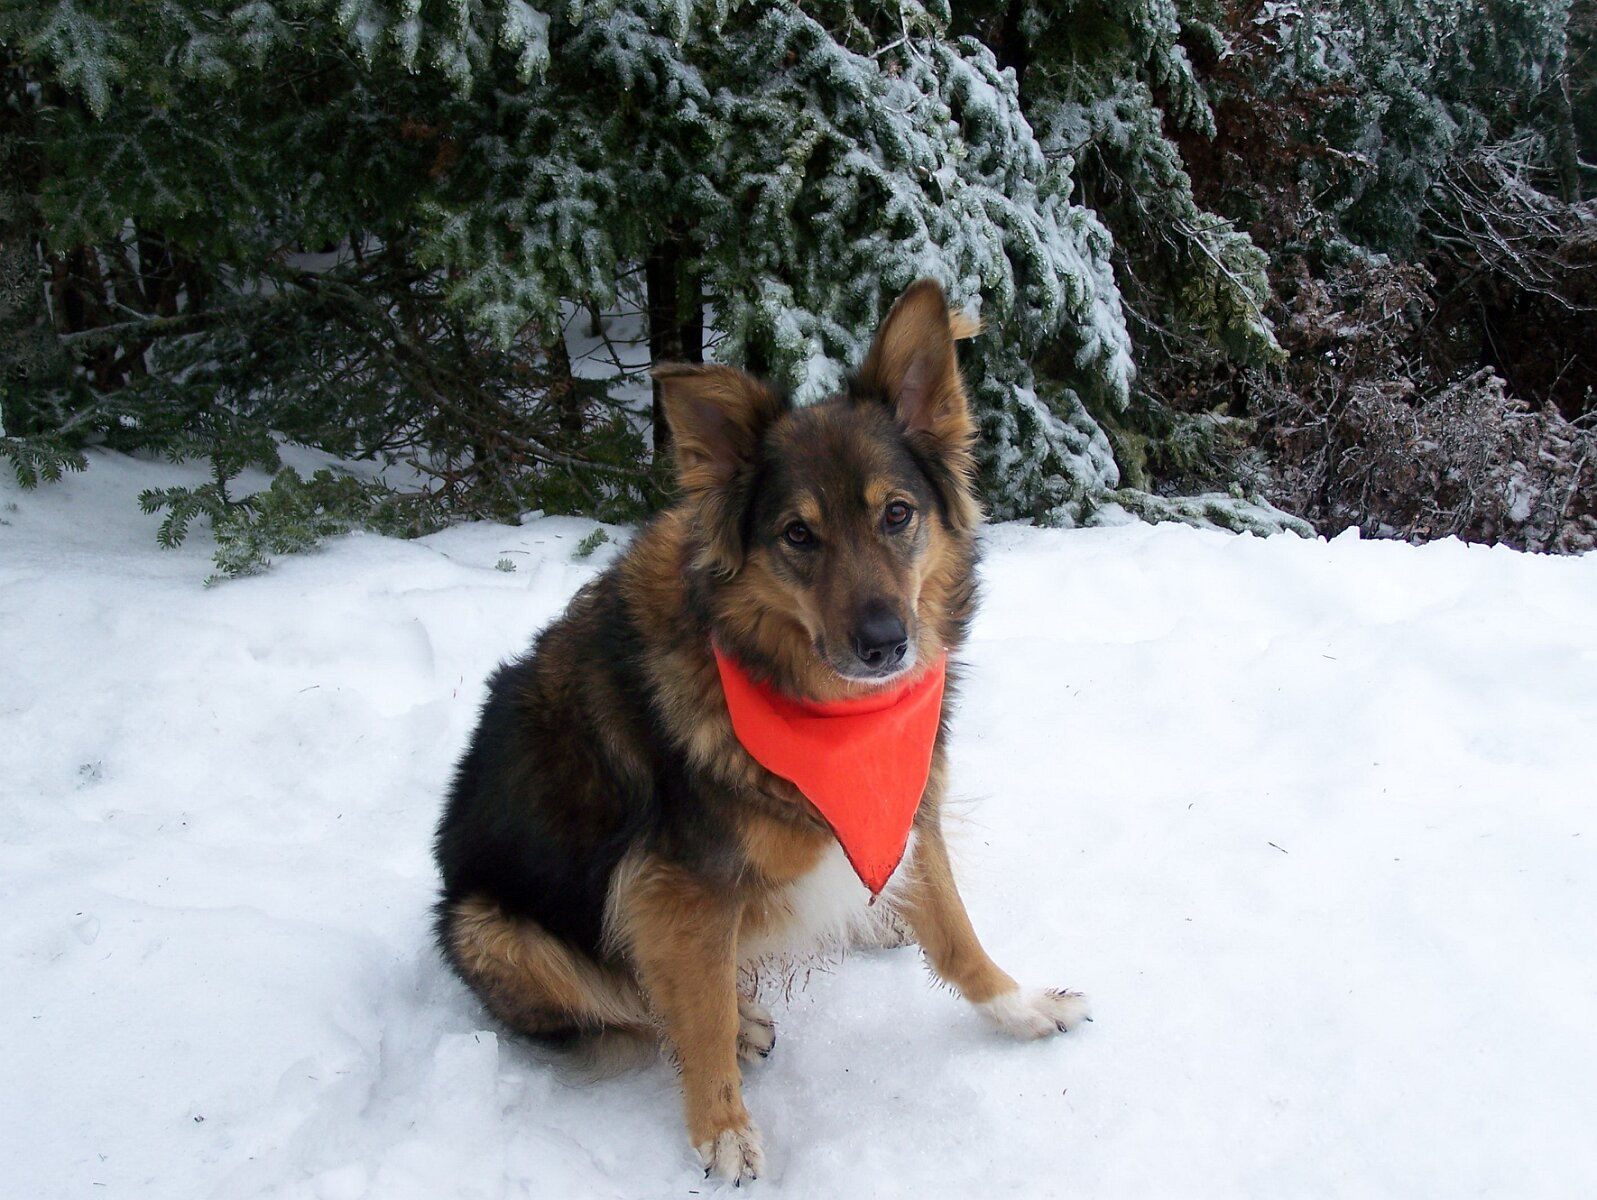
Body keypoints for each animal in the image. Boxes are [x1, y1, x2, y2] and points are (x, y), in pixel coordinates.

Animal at [433, 280, 1089, 1183]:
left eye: (897, 514)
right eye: (797, 535)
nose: (884, 644)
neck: (804, 695)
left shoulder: (908, 802)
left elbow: (954, 932)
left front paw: (1016, 1006)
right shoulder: (673, 887)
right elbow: (696, 1011)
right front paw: (720, 1129)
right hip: (490, 928)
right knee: (632, 1002)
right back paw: (739, 1021)